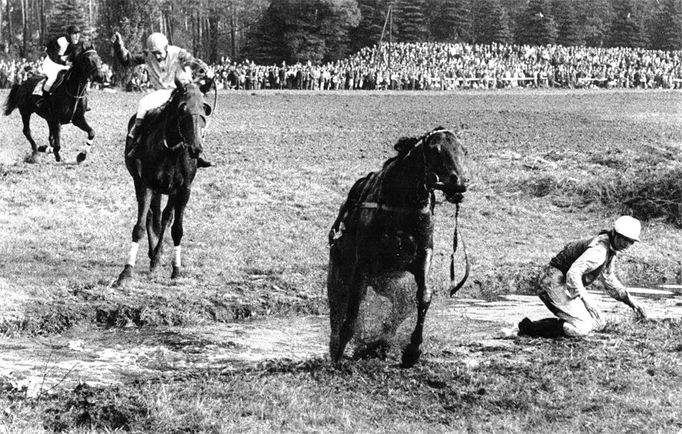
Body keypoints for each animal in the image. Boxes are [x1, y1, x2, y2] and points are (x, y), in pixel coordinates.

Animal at [115, 77, 212, 288]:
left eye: (204, 108)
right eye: (183, 107)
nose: (196, 148)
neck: (171, 151)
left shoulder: (183, 189)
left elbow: (176, 228)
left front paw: (176, 270)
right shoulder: (146, 184)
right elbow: (140, 226)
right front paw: (126, 271)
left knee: (165, 217)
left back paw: (157, 256)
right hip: (142, 182)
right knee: (152, 216)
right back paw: (153, 256)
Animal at [328, 127, 468, 368]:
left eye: (463, 150)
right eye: (434, 150)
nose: (458, 184)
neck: (400, 204)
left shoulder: (422, 256)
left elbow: (424, 295)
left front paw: (413, 351)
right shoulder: (362, 265)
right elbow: (354, 306)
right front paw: (339, 354)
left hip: (390, 286)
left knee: (399, 310)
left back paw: (380, 344)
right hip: (340, 276)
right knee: (338, 309)